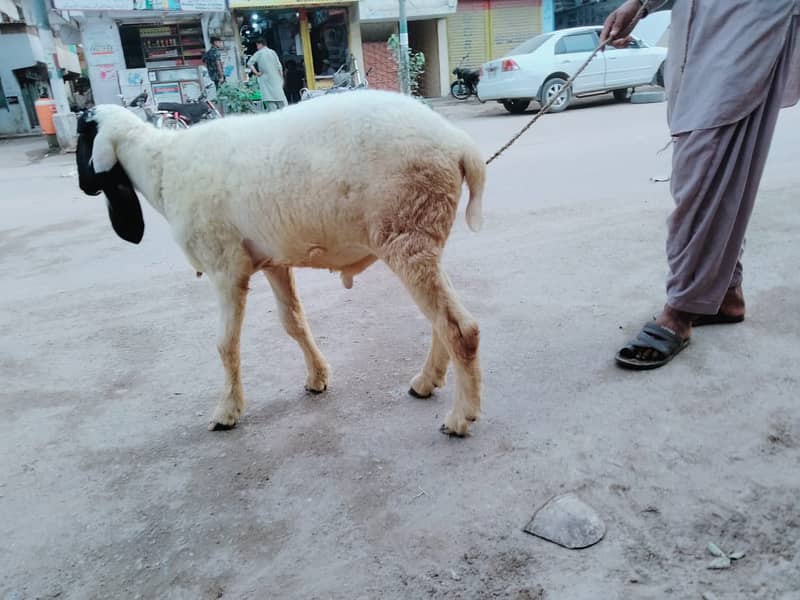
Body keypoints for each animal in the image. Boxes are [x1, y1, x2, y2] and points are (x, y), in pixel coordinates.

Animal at [76, 90, 488, 436]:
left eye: (83, 134)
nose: (83, 186)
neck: (161, 166)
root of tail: (459, 144)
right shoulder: (273, 261)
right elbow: (293, 323)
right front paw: (318, 378)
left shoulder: (225, 267)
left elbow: (225, 344)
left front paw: (227, 411)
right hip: (421, 236)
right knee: (442, 322)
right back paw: (425, 383)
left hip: (407, 233)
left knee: (459, 329)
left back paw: (459, 418)